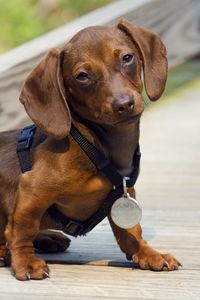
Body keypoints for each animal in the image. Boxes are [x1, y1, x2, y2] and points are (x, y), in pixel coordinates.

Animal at [0, 19, 180, 280]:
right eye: (82, 76)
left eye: (127, 58)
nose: (124, 104)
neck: (100, 145)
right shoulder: (32, 188)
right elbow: (21, 229)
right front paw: (26, 263)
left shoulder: (125, 192)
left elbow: (130, 231)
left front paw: (148, 253)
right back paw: (5, 251)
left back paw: (47, 237)